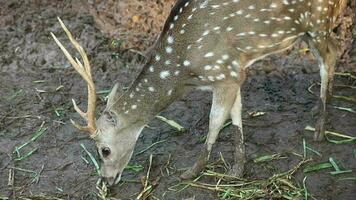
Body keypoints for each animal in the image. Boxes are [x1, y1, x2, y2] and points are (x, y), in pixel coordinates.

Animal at [51, 0, 346, 185]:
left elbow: (215, 120)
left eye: (104, 150)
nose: (106, 180)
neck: (184, 69)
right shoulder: (232, 71)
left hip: (318, 20)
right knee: (333, 52)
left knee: (331, 55)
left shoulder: (223, 69)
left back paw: (320, 128)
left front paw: (191, 172)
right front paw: (237, 169)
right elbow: (236, 115)